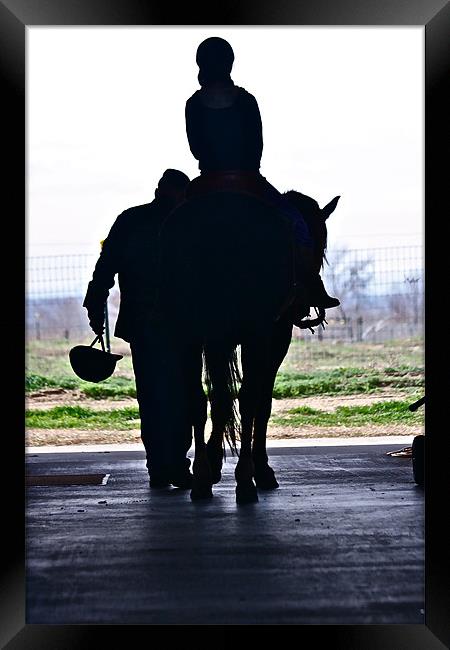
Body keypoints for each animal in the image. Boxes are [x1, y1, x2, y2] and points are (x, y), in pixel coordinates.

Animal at [157, 187, 338, 502]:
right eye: (320, 247)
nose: (305, 304)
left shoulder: (218, 340)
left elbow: (221, 398)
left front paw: (215, 462)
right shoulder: (273, 339)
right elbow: (260, 402)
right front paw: (261, 469)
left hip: (189, 336)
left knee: (200, 399)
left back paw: (202, 478)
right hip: (253, 336)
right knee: (249, 399)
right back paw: (245, 479)